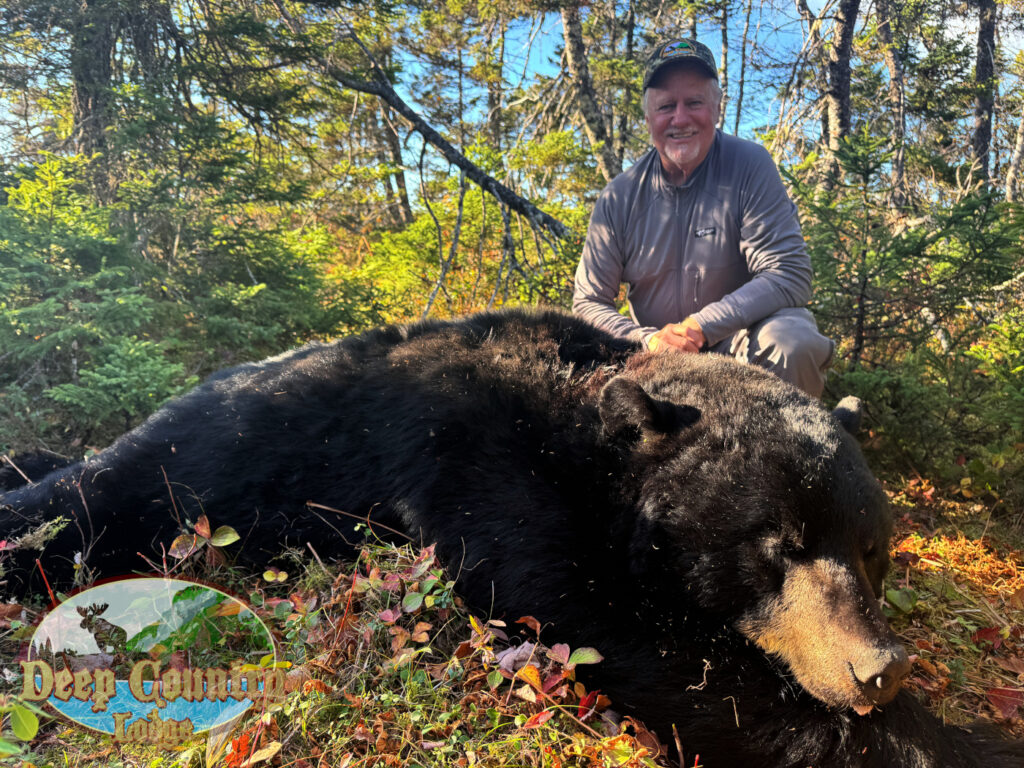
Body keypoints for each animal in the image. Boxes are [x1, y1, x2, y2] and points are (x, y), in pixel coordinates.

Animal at [1, 309, 1022, 767]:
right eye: (778, 544)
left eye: (872, 548)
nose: (877, 668)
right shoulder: (475, 455)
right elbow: (586, 615)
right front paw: (955, 740)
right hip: (193, 465)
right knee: (82, 507)